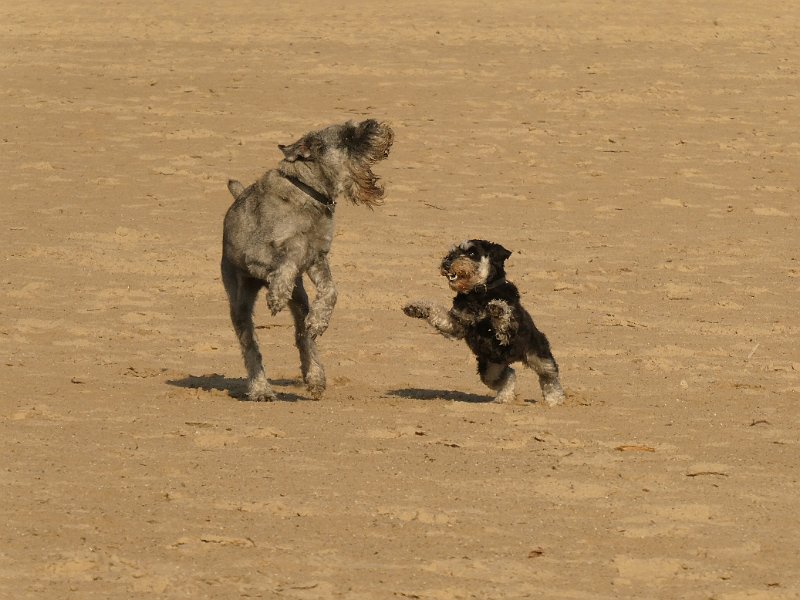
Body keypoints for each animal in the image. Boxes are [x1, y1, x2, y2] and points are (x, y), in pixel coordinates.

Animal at [222, 119, 394, 400]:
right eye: (347, 136)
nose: (379, 126)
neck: (308, 193)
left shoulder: (318, 258)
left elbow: (331, 290)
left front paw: (319, 320)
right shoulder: (257, 254)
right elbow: (288, 258)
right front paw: (277, 295)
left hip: (300, 299)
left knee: (303, 337)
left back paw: (315, 376)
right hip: (239, 303)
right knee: (250, 346)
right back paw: (260, 389)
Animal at [404, 238, 564, 404]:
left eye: (472, 253)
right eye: (453, 251)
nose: (446, 263)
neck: (479, 294)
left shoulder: (510, 333)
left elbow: (504, 320)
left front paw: (497, 308)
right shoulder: (457, 324)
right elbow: (439, 314)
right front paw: (418, 308)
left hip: (539, 356)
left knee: (549, 377)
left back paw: (554, 400)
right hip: (490, 369)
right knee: (509, 375)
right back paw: (504, 398)